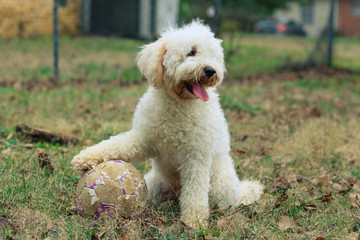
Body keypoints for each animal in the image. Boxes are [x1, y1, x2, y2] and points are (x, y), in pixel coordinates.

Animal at [71, 20, 264, 229]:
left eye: (213, 56)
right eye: (191, 52)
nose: (211, 70)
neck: (177, 104)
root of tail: (239, 190)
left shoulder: (196, 157)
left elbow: (195, 192)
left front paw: (194, 221)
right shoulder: (143, 139)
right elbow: (115, 144)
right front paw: (85, 157)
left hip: (219, 185)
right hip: (155, 184)